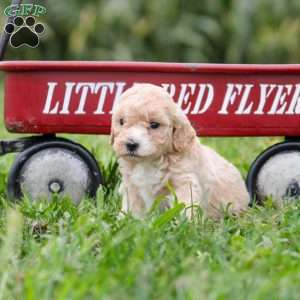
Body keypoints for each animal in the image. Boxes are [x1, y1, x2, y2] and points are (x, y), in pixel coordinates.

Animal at [111, 83, 250, 219]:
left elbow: (185, 206)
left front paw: (185, 223)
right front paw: (126, 220)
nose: (131, 144)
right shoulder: (131, 185)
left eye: (154, 124)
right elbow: (132, 207)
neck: (149, 161)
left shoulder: (184, 181)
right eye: (121, 121)